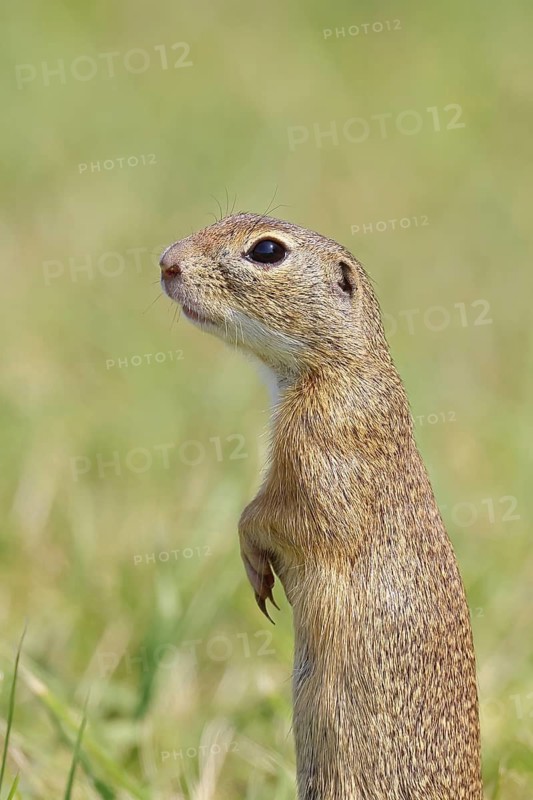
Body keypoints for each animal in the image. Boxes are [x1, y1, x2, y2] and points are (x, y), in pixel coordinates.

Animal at [160, 213, 483, 800]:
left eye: (267, 251)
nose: (166, 261)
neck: (337, 367)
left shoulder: (323, 453)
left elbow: (282, 517)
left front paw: (255, 566)